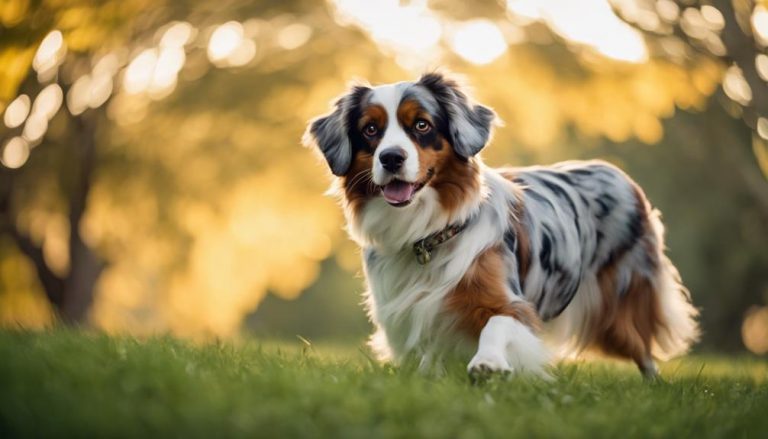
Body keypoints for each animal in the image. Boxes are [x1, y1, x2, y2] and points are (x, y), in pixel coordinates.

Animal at [304, 74, 700, 380]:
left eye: (422, 125)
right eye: (371, 129)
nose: (391, 158)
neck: (426, 234)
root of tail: (616, 173)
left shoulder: (512, 302)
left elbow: (497, 322)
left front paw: (489, 362)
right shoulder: (414, 306)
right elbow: (430, 342)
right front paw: (429, 375)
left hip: (618, 306)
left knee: (641, 346)